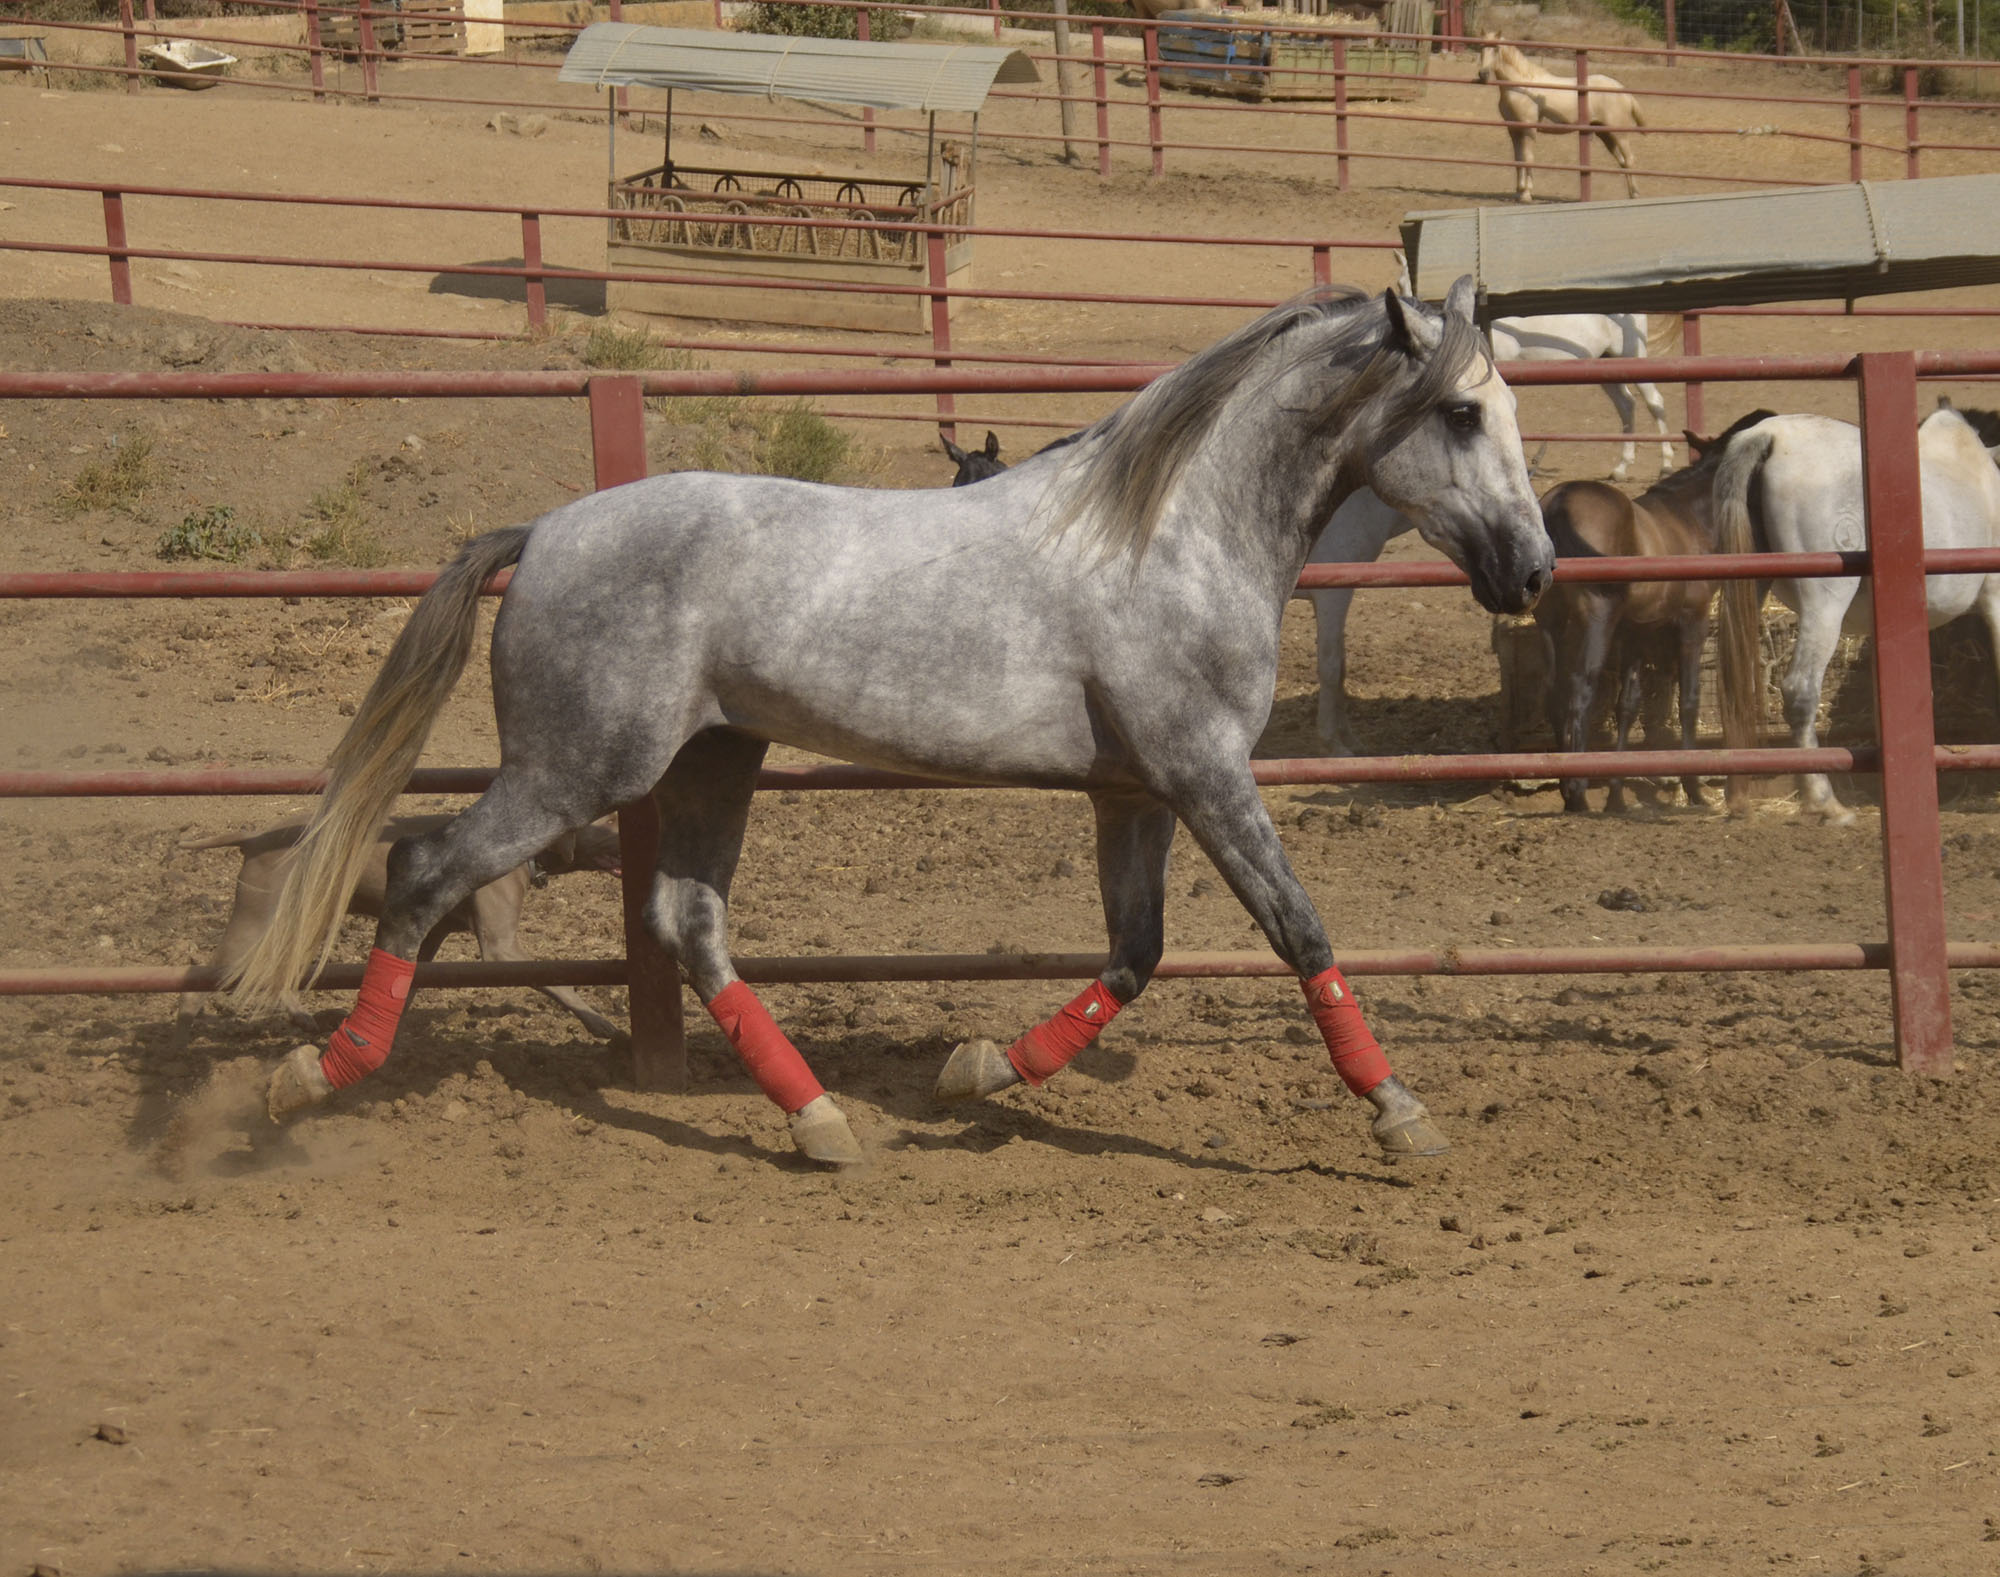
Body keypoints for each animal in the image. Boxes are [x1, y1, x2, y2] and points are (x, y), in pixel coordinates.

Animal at [227, 280, 1552, 1168]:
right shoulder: (1203, 771)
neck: (1168, 536)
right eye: (1462, 414)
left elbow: (1133, 953)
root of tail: (543, 531)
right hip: (576, 767)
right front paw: (1401, 1113)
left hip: (712, 758)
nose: (1532, 570)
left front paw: (975, 1073)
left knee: (683, 919)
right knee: (424, 867)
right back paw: (303, 1080)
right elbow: (1297, 929)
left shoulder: (1131, 790)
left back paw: (819, 1120)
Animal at [1480, 36, 1648, 202]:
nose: (1482, 74)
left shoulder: (1529, 130)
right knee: (1623, 162)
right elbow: (1518, 159)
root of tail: (1623, 90)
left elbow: (1527, 158)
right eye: (1481, 48)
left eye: (1495, 49)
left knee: (1629, 159)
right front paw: (1519, 191)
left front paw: (1526, 194)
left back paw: (1636, 194)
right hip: (1605, 134)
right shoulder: (1514, 130)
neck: (1522, 87)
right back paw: (1631, 194)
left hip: (1619, 134)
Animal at [1536, 410, 1776, 812]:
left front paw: (1617, 795)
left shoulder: (1636, 630)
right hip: (1596, 620)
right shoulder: (1693, 621)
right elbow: (1689, 700)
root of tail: (1559, 502)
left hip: (1550, 621)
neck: (1691, 517)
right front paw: (1693, 788)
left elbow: (1627, 706)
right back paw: (1577, 791)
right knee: (1579, 688)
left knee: (1553, 690)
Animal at [1712, 400, 2000, 824]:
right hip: (1824, 605)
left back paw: (1738, 798)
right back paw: (1824, 801)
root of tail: (1770, 435)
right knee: (1800, 690)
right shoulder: (1994, 598)